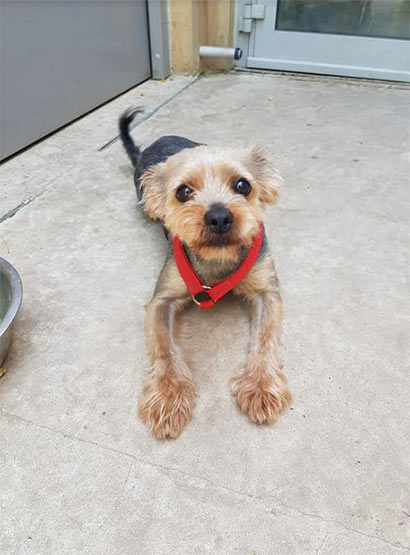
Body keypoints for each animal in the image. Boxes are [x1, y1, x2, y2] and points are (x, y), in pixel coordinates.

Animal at [119, 108, 292, 439]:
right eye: (183, 192)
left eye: (242, 186)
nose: (220, 216)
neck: (217, 262)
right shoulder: (161, 300)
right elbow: (164, 348)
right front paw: (168, 396)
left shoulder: (267, 291)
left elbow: (265, 338)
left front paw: (261, 386)